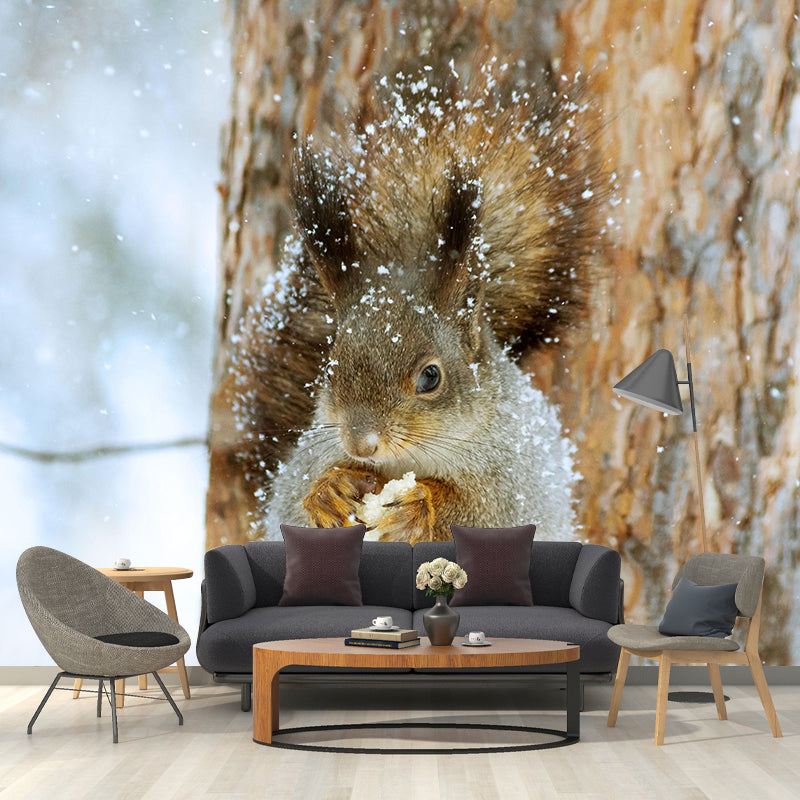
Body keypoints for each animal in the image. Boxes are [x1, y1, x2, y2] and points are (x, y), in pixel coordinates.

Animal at [228, 71, 607, 544]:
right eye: (329, 368)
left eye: (431, 377)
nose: (361, 444)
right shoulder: (308, 458)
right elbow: (291, 506)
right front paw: (328, 491)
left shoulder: (515, 478)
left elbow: (484, 515)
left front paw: (418, 507)